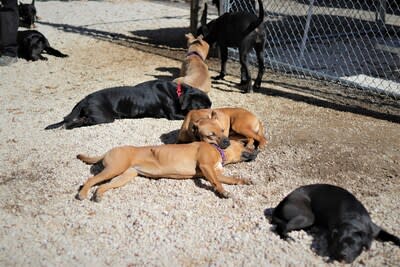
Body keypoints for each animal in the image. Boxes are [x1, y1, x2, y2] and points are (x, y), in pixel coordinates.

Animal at [44, 79, 212, 130]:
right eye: (202, 107)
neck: (177, 93)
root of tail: (85, 98)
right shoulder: (173, 114)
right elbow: (186, 113)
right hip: (103, 117)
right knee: (78, 121)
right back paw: (70, 125)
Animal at [75, 141, 256, 202]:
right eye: (244, 144)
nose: (257, 150)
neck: (219, 150)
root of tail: (108, 151)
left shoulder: (214, 172)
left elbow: (232, 179)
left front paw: (244, 181)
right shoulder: (206, 168)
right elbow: (217, 182)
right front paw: (223, 192)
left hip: (124, 176)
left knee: (102, 186)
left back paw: (98, 195)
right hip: (114, 169)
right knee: (90, 181)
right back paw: (82, 193)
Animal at [272, 184, 400, 264]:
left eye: (353, 243)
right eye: (339, 242)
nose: (343, 255)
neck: (353, 220)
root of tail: (282, 202)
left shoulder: (375, 229)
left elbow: (392, 236)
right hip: (307, 217)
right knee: (282, 227)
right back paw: (287, 237)